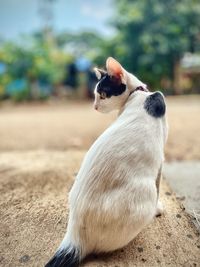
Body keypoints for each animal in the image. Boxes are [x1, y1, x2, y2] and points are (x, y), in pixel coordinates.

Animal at [45, 57, 167, 267]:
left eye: (102, 95)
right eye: (96, 95)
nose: (94, 106)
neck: (139, 94)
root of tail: (74, 236)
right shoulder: (160, 158)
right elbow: (160, 185)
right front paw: (159, 208)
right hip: (145, 192)